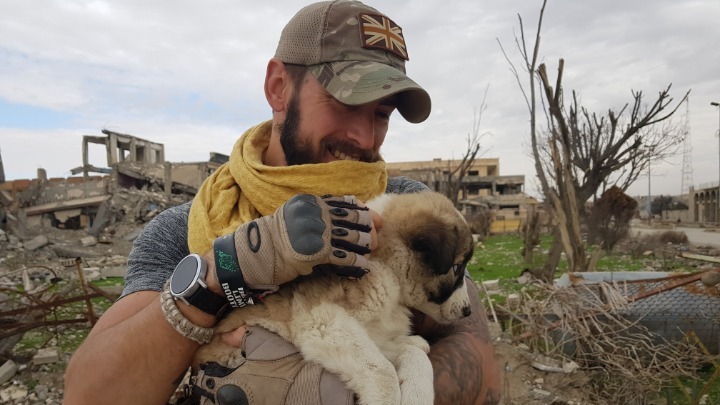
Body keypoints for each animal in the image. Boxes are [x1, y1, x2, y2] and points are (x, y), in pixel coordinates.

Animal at [195, 191, 478, 402]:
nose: (468, 311)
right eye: (457, 268)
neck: (386, 268)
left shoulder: (369, 335)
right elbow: (382, 371)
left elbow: (412, 355)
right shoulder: (322, 321)